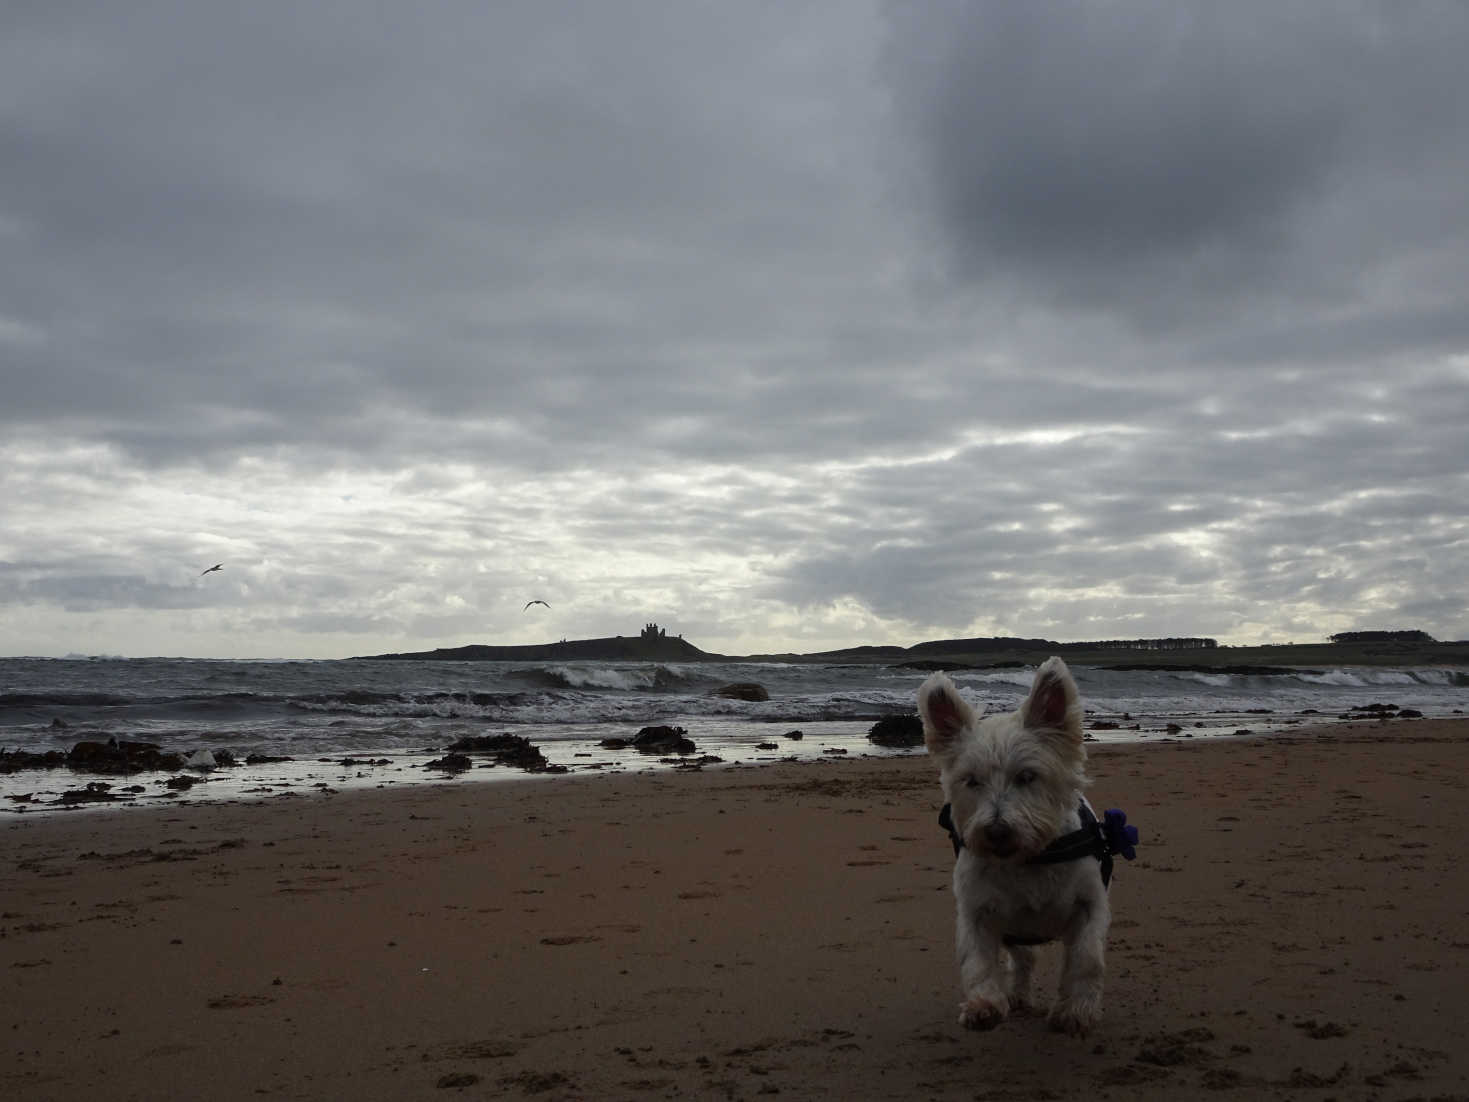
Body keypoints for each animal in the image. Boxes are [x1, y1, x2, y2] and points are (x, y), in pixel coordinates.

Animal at [910, 661, 1128, 1040]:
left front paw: (1075, 1012)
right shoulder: (976, 911)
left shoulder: (1090, 905)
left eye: (1027, 776)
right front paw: (983, 1005)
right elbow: (977, 960)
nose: (996, 832)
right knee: (1024, 960)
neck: (1029, 858)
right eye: (971, 780)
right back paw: (1017, 996)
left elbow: (1086, 958)